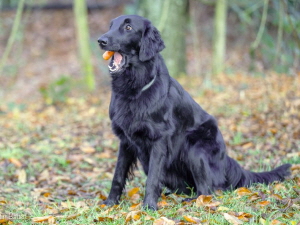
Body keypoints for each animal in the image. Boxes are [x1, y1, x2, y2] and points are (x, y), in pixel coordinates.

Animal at [98, 14, 290, 210]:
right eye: (111, 26)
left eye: (128, 27)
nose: (101, 40)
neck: (134, 91)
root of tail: (226, 160)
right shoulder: (125, 140)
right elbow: (118, 175)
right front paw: (110, 203)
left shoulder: (159, 140)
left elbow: (152, 178)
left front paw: (149, 206)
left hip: (195, 149)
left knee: (207, 190)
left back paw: (193, 201)